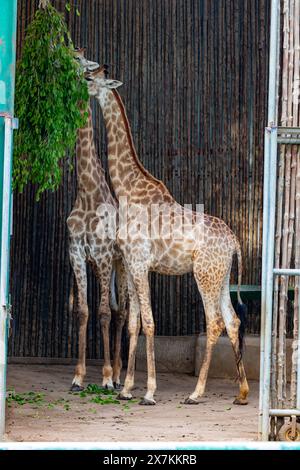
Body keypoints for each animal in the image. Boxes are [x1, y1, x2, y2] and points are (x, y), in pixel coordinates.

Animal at [86, 68, 248, 406]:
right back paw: (241, 393)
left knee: (214, 322)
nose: (78, 80)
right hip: (221, 276)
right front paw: (126, 388)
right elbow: (133, 323)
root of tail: (234, 243)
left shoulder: (139, 264)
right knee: (232, 320)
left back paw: (196, 393)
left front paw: (148, 391)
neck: (128, 190)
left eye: (90, 78)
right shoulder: (132, 265)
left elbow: (148, 322)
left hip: (204, 275)